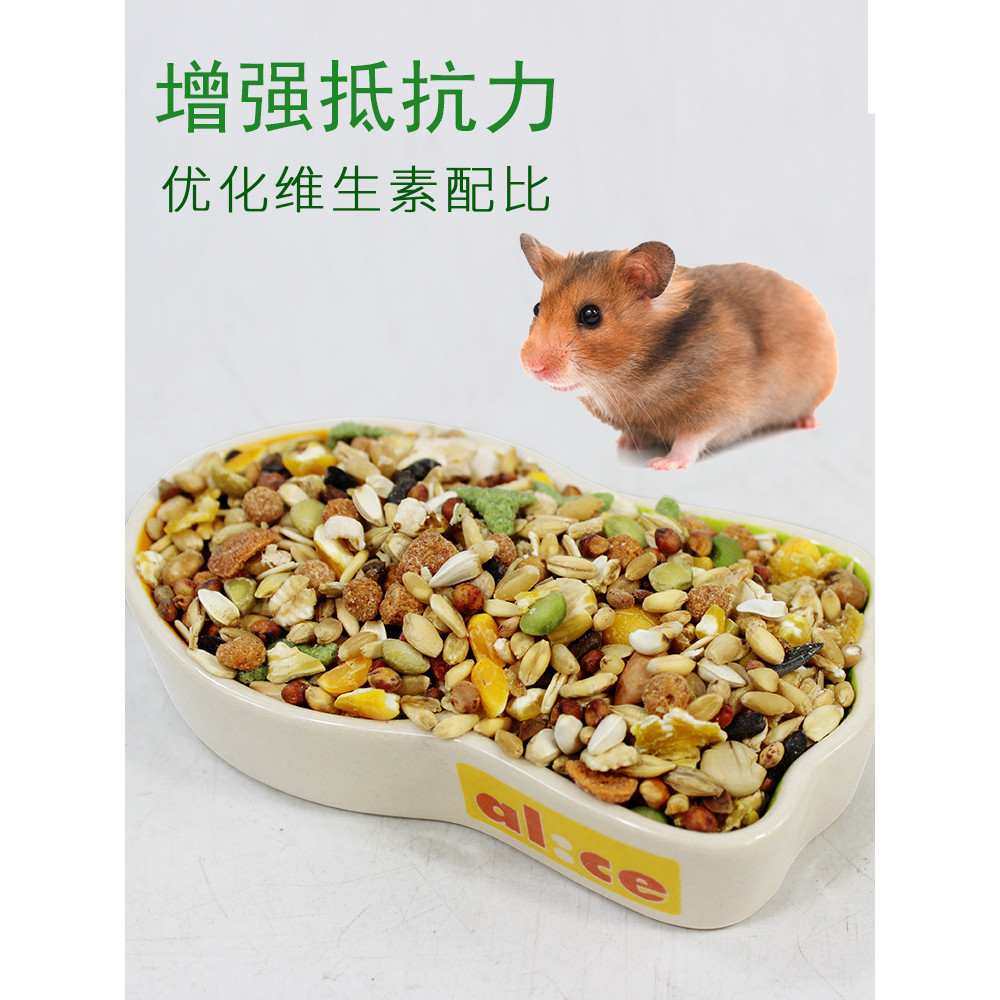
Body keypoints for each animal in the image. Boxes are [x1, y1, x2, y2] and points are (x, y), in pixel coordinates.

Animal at [518, 234, 838, 470]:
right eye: (536, 308)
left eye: (590, 315)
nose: (533, 368)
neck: (629, 379)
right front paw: (624, 444)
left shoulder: (717, 407)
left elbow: (690, 439)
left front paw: (661, 463)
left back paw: (807, 422)